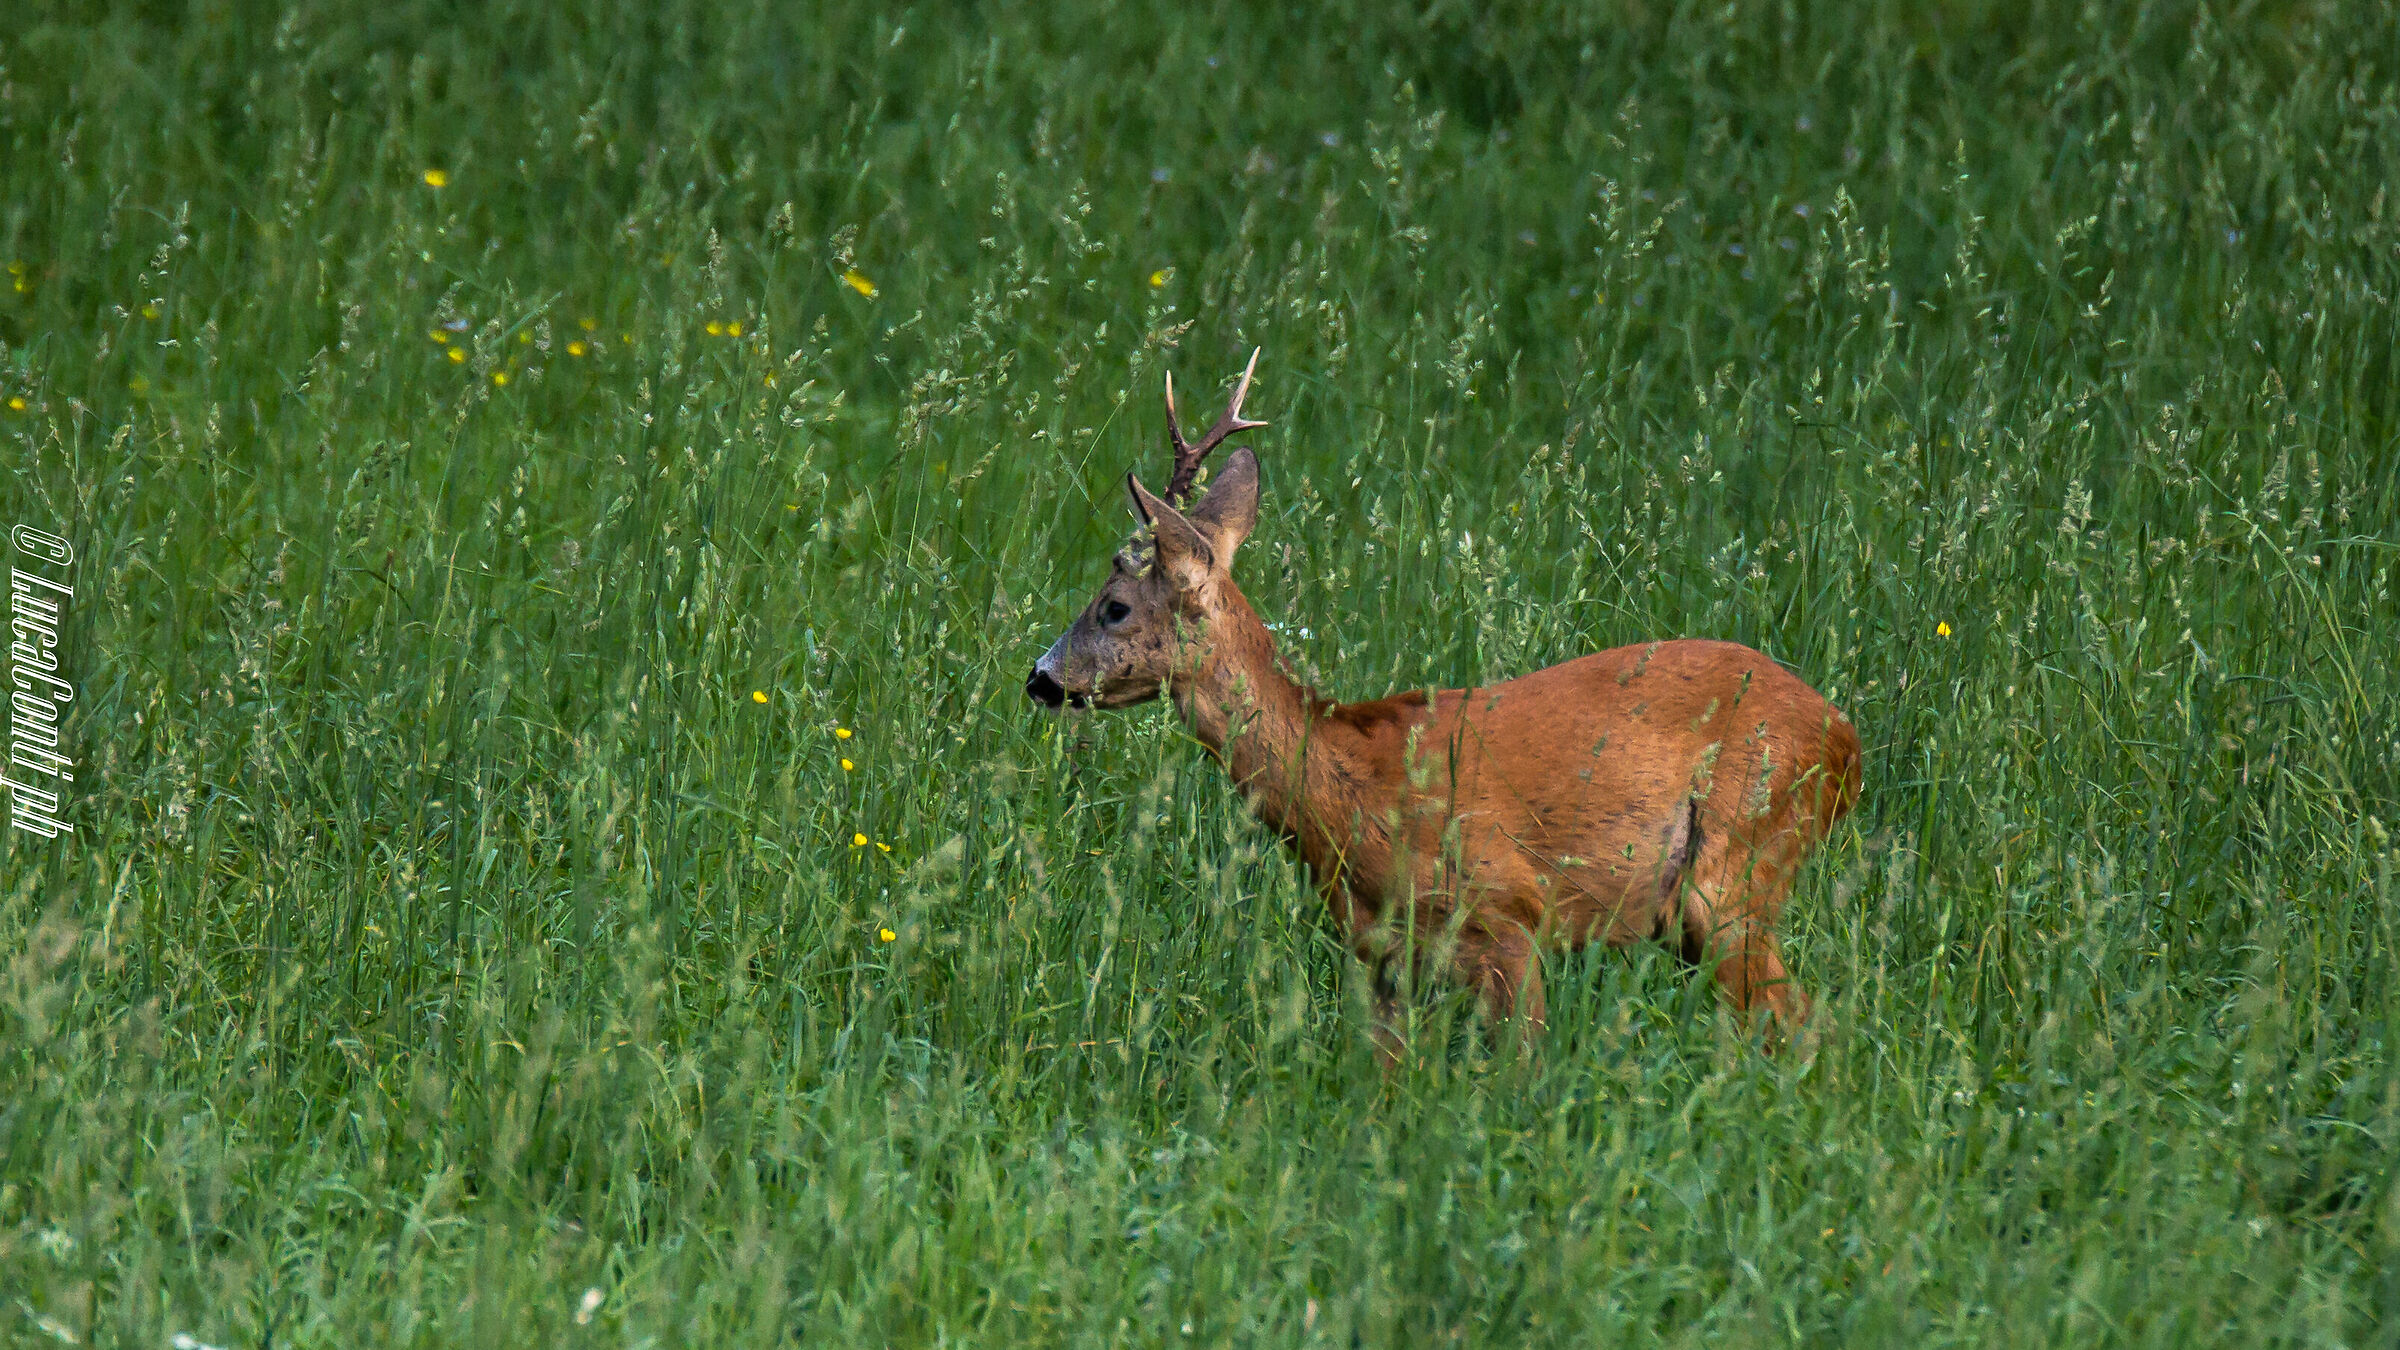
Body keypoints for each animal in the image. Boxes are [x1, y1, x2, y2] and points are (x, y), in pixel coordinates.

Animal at [1024, 351, 1862, 1059]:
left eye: (1113, 607)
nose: (1039, 677)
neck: (1353, 796)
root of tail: (1846, 739)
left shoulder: (1512, 919)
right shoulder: (1381, 957)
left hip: (1738, 863)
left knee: (1803, 1023)